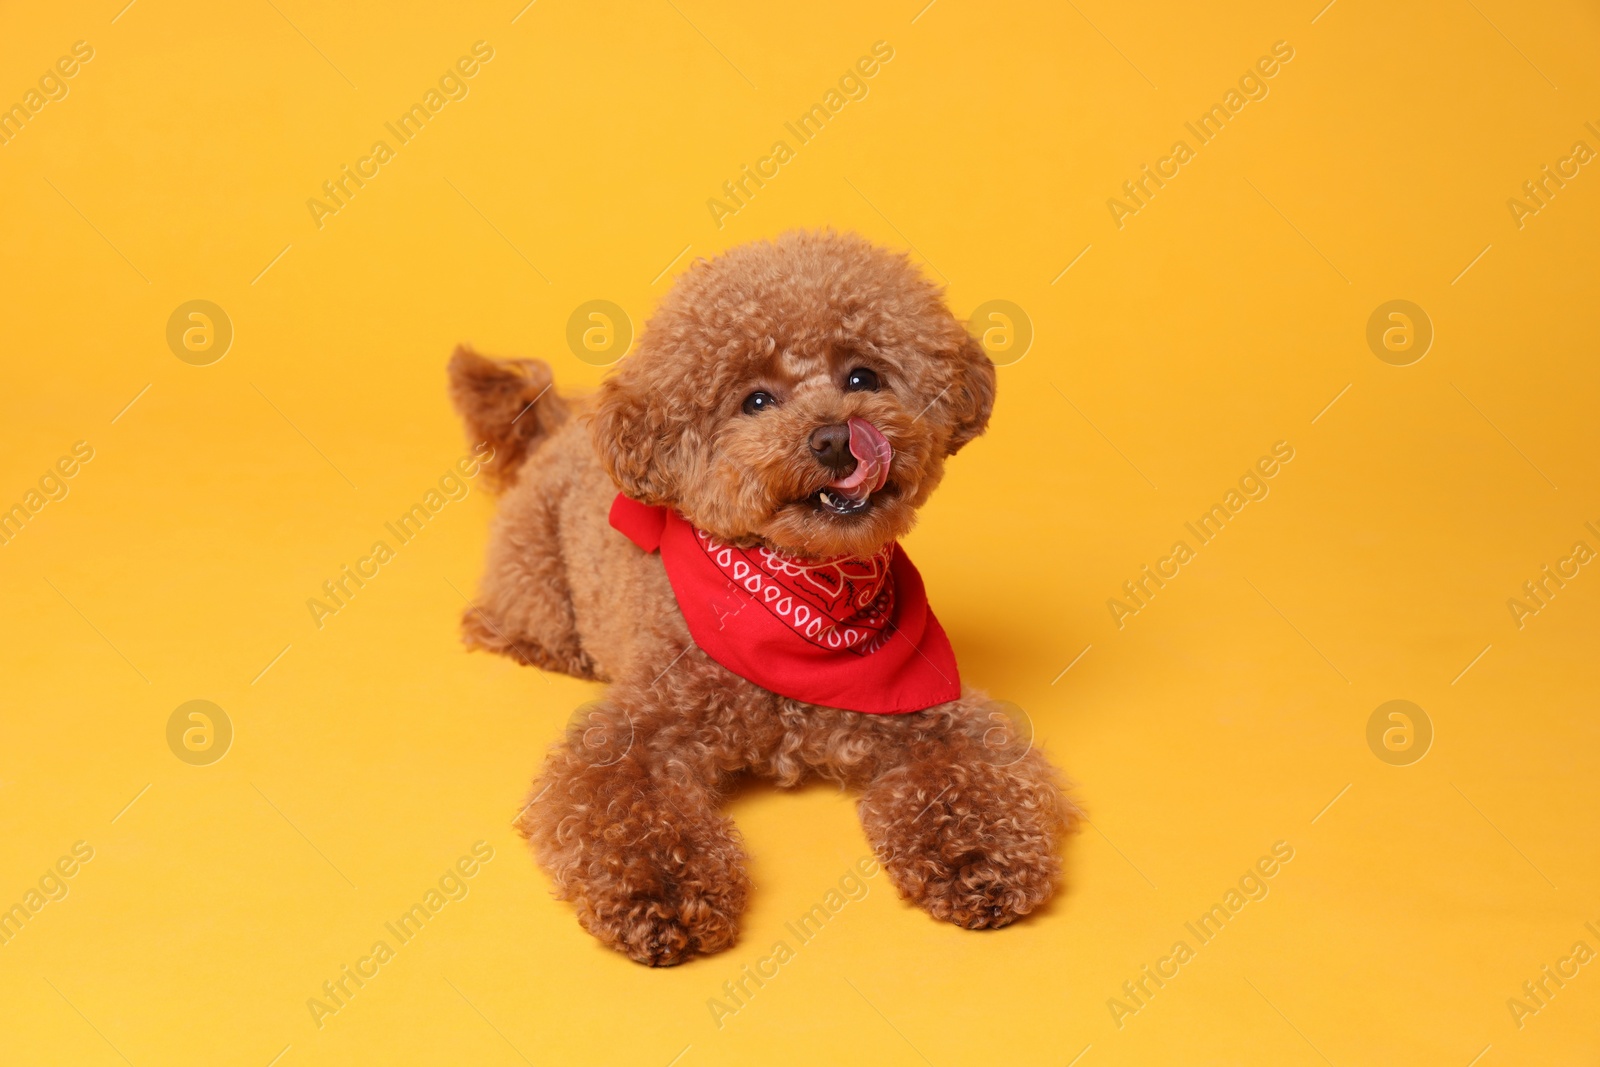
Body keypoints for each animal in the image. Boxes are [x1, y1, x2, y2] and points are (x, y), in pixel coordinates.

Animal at [451, 230, 1075, 966]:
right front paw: (661, 892)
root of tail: (564, 424)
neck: (803, 593)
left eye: (863, 376)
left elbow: (975, 775)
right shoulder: (637, 732)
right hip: (535, 577)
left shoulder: (930, 714)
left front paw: (981, 855)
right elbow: (624, 804)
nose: (835, 438)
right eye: (754, 401)